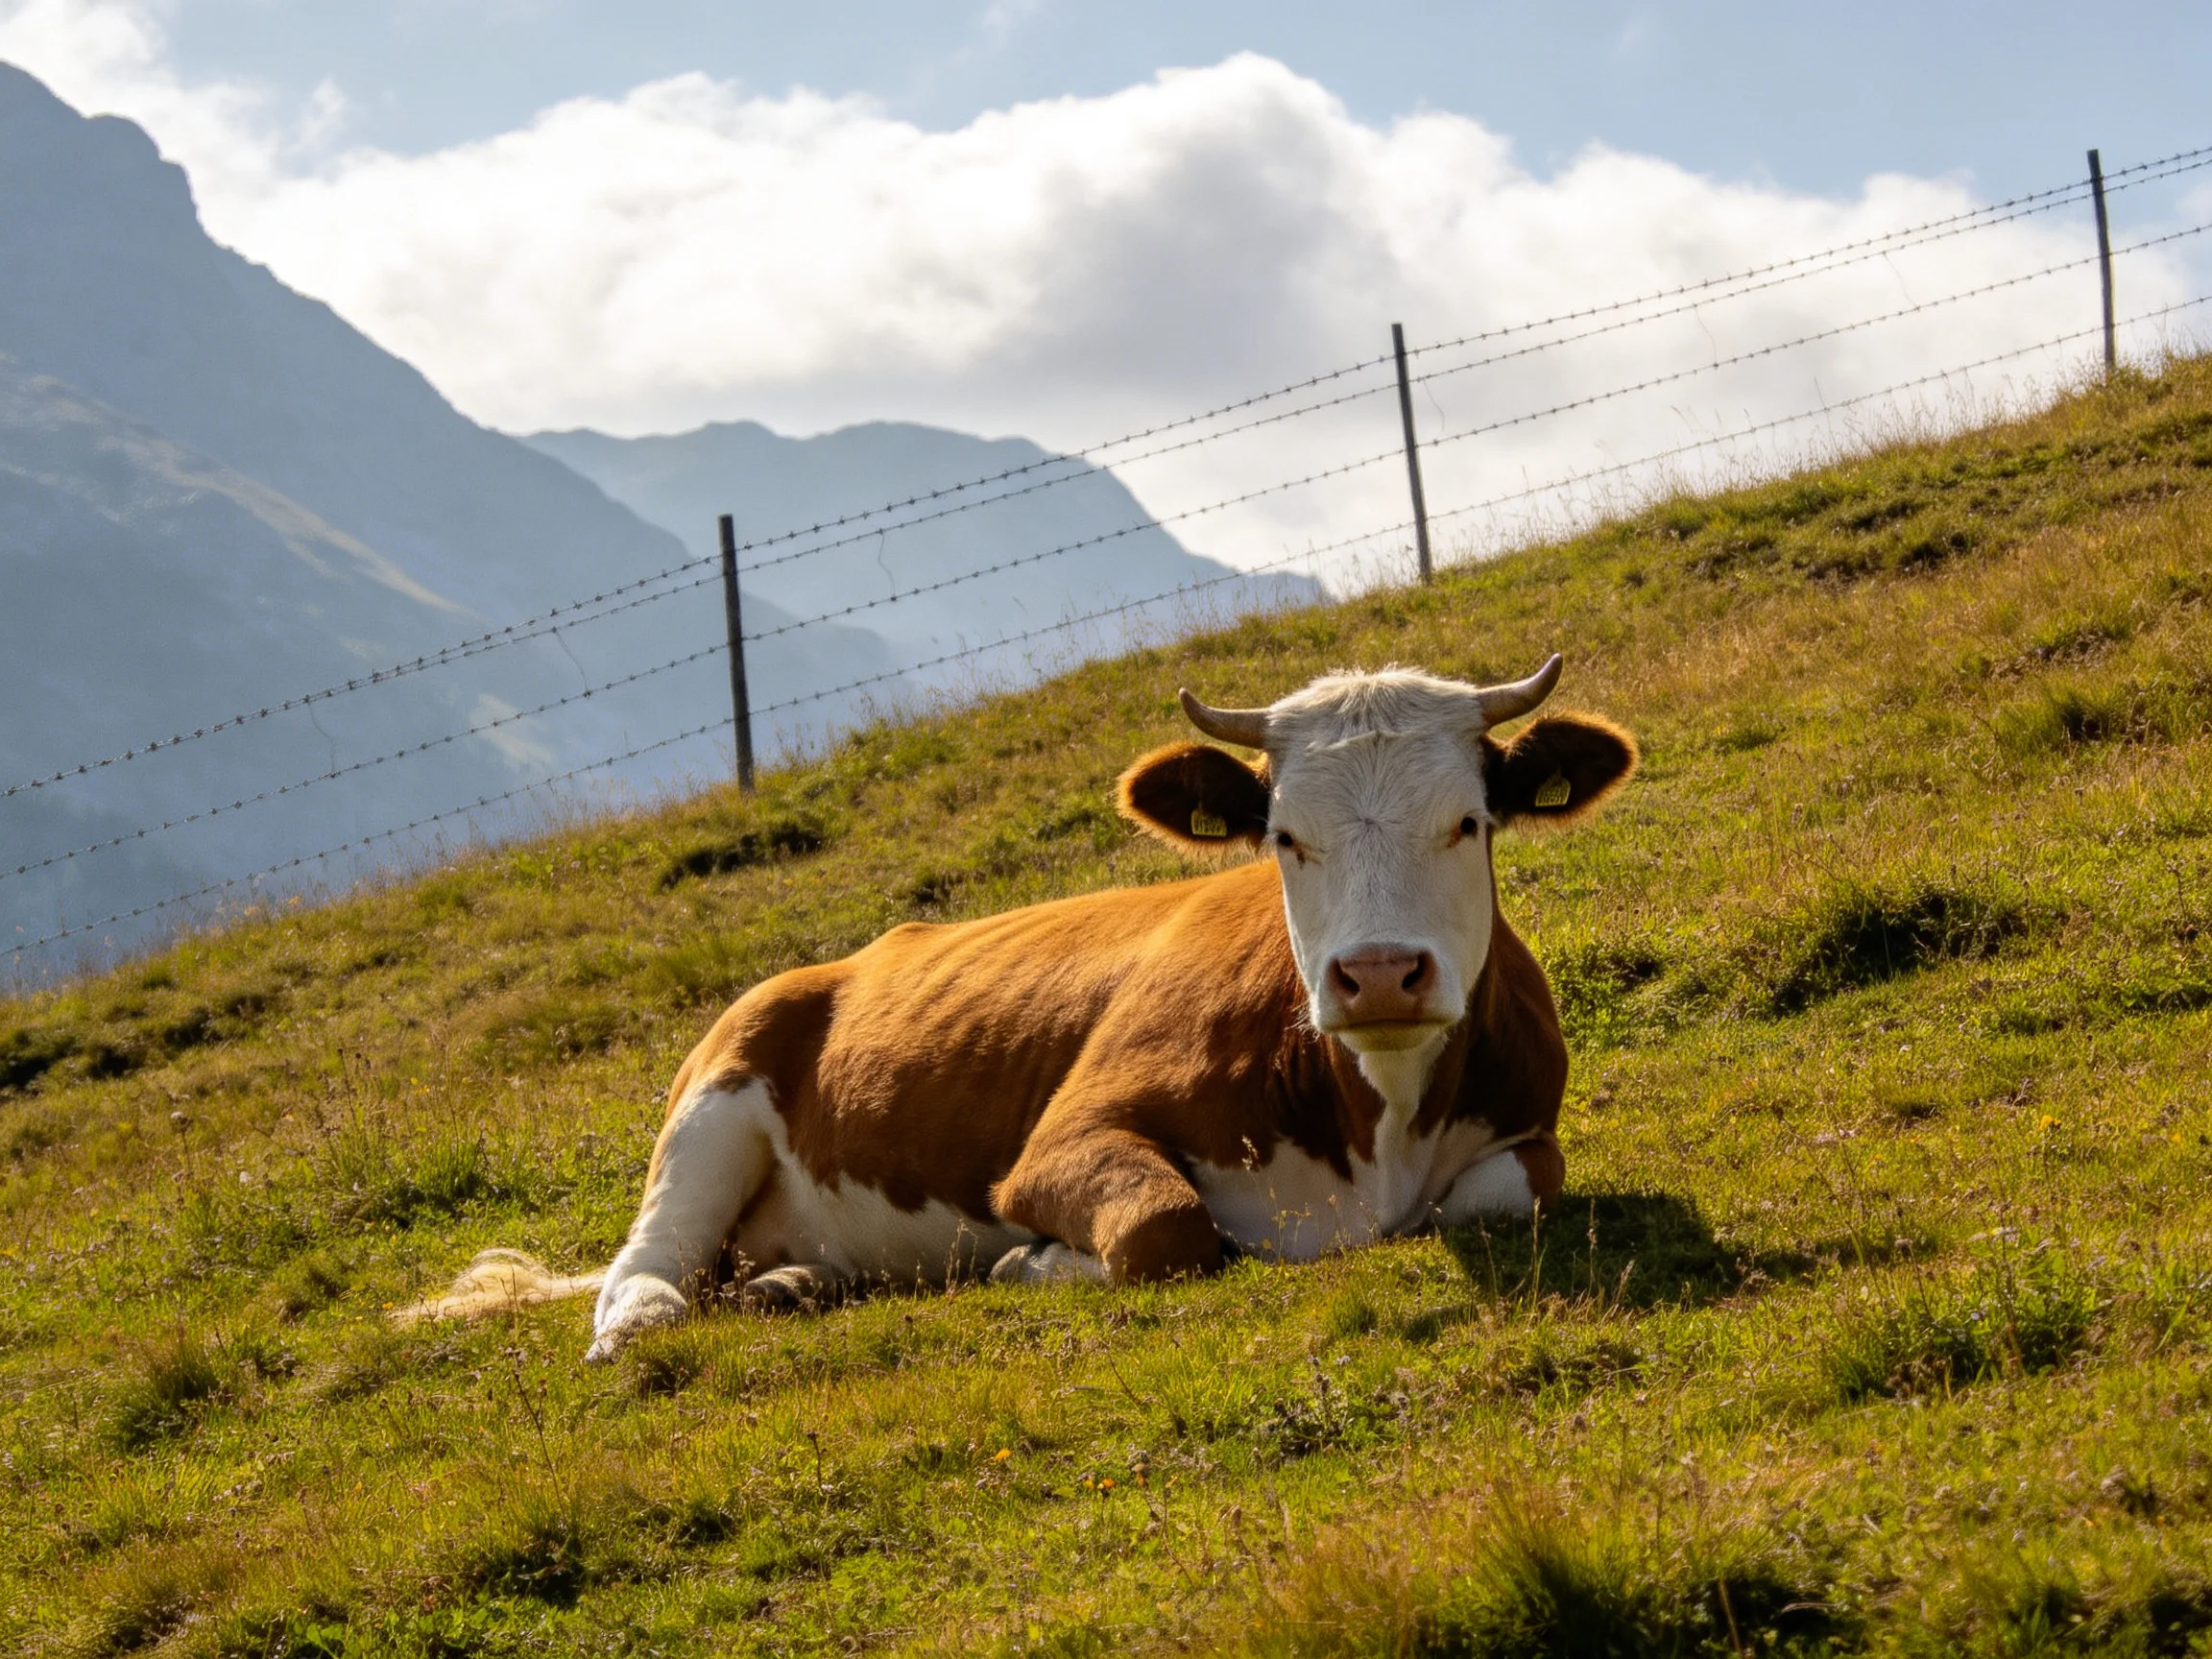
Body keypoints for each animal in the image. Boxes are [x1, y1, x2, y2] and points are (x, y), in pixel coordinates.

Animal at [402, 657, 1636, 1361]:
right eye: (1287, 837)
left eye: (1469, 822)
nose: (1379, 974)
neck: (1369, 1131)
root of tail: (815, 969)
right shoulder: (1063, 1143)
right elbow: (1167, 1226)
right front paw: (1028, 1264)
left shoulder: (1529, 1133)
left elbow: (1510, 1193)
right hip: (713, 1101)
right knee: (648, 1267)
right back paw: (647, 1319)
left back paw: (798, 1282)